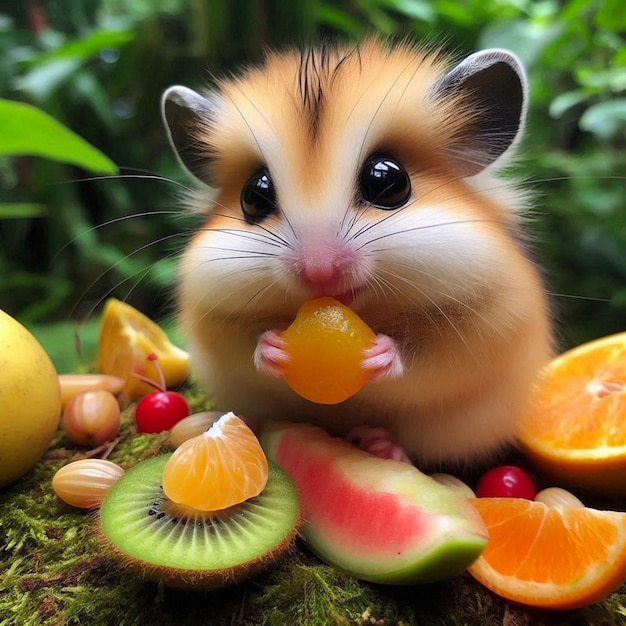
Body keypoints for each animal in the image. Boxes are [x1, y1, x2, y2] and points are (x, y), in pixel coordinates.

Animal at [160, 39, 552, 466]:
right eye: (253, 195)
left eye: (388, 181)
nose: (319, 274)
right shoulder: (211, 317)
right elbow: (244, 346)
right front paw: (274, 348)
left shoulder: (487, 324)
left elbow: (426, 362)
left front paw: (377, 355)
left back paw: (379, 444)